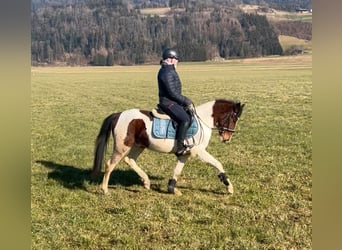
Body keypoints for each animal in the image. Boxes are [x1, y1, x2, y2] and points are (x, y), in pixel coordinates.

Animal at [91, 99, 244, 195]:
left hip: (139, 146)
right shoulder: (199, 151)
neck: (203, 121)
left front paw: (172, 189)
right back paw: (105, 190)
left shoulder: (185, 155)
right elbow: (218, 164)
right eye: (234, 118)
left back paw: (146, 182)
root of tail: (118, 114)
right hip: (122, 147)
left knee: (130, 160)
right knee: (110, 164)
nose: (227, 138)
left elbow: (177, 171)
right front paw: (229, 187)